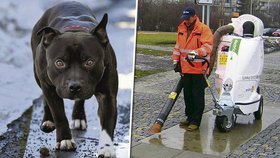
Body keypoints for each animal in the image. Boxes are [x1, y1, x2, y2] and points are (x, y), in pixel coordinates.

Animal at [30, 1, 118, 157]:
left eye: (89, 62)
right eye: (59, 63)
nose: (75, 86)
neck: (75, 31)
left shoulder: (108, 95)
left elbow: (107, 123)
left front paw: (106, 148)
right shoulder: (49, 87)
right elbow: (59, 114)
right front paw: (64, 140)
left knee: (80, 99)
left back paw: (78, 117)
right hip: (39, 77)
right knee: (45, 98)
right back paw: (48, 120)